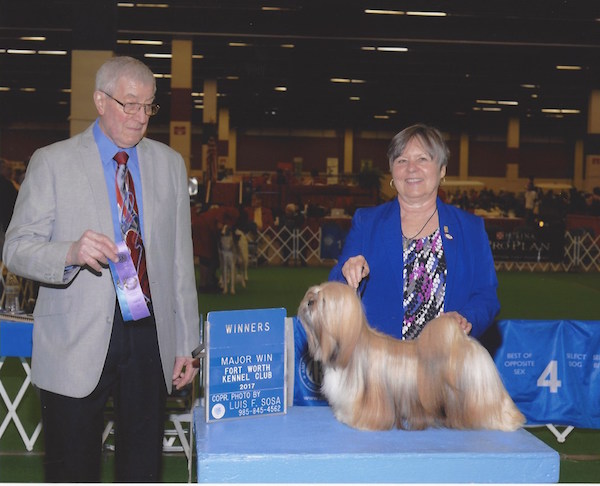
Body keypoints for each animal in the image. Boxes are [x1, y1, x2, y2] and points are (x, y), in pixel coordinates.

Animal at [298, 280, 524, 432]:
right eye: (313, 294)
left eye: (322, 300)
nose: (308, 301)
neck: (350, 348)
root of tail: (466, 344)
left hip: (481, 395)